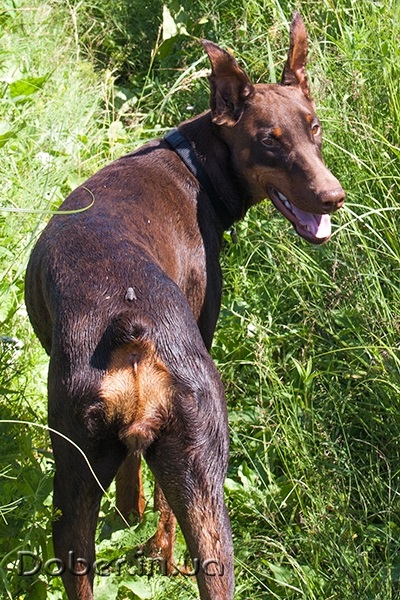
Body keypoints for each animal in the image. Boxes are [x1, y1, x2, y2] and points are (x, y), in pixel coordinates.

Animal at [24, 12, 344, 600]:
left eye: (314, 128)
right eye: (268, 141)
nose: (334, 196)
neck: (193, 163)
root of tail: (132, 328)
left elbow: (131, 484)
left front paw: (129, 522)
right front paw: (147, 541)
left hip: (79, 473)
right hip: (199, 453)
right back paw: (163, 558)